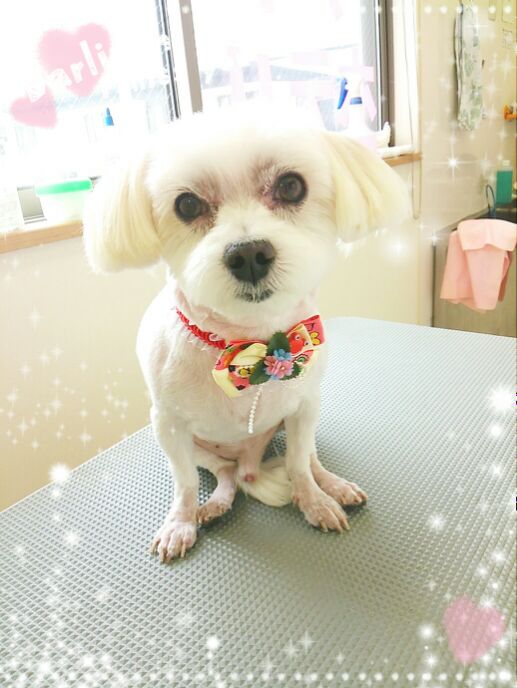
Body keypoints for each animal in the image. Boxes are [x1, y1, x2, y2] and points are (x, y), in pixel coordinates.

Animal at [83, 106, 408, 562]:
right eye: (187, 204)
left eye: (291, 186)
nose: (249, 253)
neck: (246, 341)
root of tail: (250, 458)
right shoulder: (168, 427)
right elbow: (184, 484)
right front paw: (180, 523)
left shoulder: (304, 406)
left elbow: (298, 466)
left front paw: (314, 502)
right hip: (202, 448)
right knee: (226, 475)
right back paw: (216, 504)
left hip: (294, 423)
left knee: (308, 459)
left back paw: (333, 486)